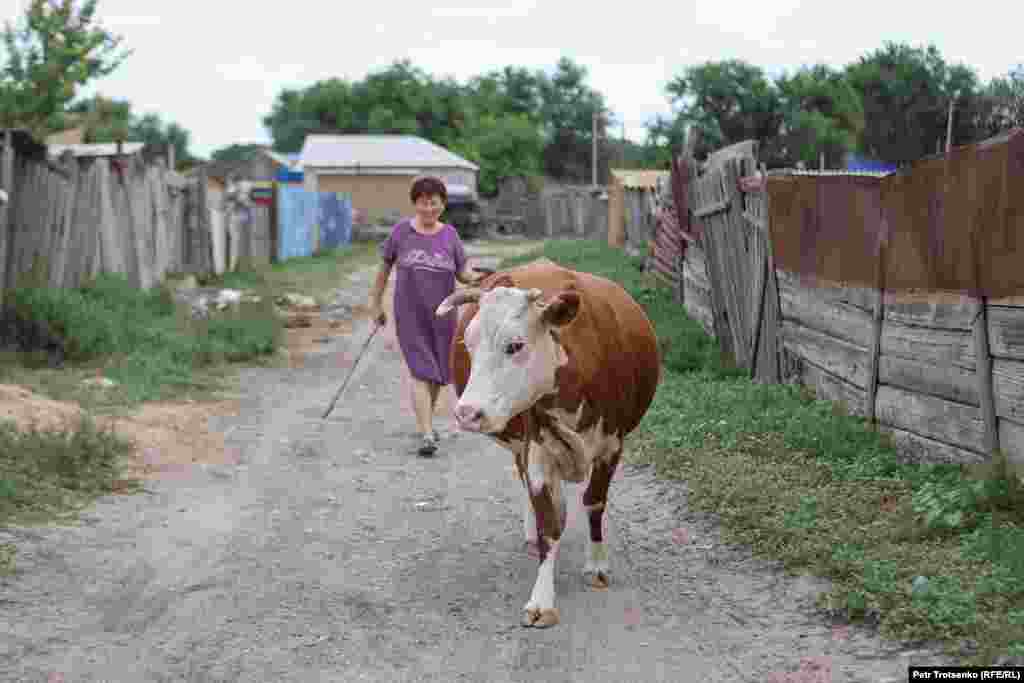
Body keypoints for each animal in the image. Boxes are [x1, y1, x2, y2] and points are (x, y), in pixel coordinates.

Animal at [434, 258, 659, 630]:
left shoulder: (612, 446)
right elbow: (547, 524)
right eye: (468, 344)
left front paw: (596, 565)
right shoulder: (536, 450)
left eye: (515, 345)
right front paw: (542, 599)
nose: (467, 413)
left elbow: (594, 502)